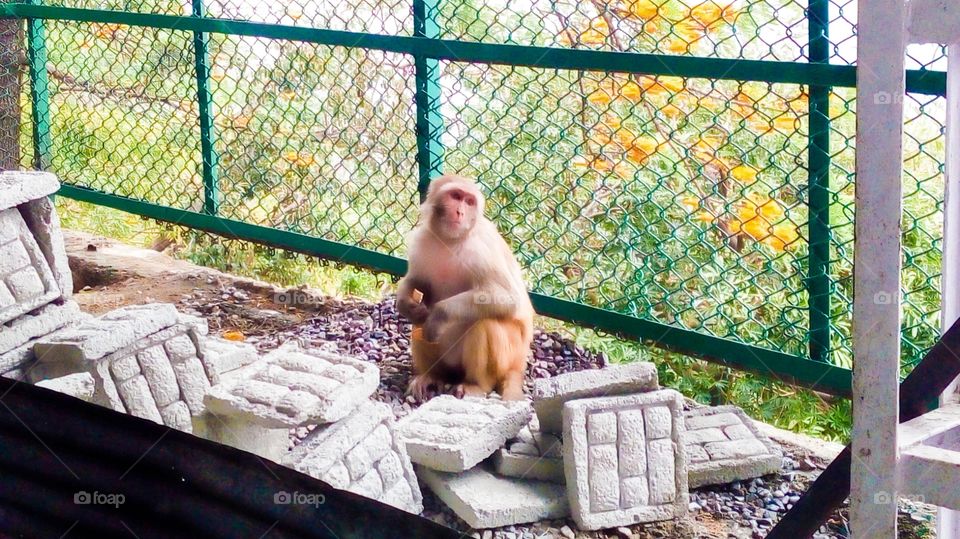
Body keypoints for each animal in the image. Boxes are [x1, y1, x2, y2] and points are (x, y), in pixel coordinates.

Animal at [396, 174, 534, 401]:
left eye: (469, 202)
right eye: (456, 196)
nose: (460, 212)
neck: (450, 240)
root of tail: (519, 364)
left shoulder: (481, 251)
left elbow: (507, 298)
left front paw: (439, 315)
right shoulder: (421, 240)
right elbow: (417, 280)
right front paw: (404, 302)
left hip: (510, 355)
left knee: (485, 323)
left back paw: (477, 385)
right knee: (419, 322)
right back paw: (433, 376)